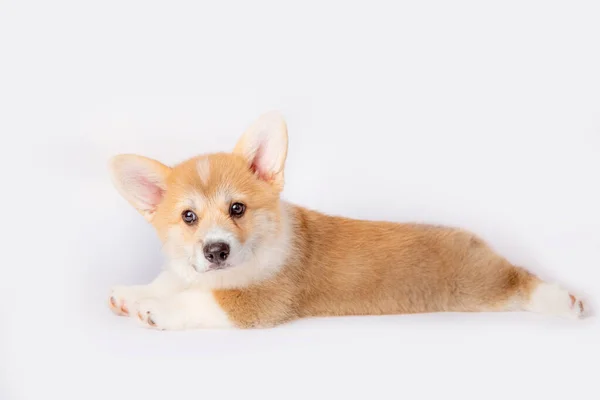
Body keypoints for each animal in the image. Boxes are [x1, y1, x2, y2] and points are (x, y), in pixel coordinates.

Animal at [106, 110, 584, 328]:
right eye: (188, 216)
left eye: (237, 209)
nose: (216, 251)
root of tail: (475, 241)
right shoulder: (190, 271)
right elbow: (170, 280)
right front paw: (130, 294)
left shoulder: (260, 302)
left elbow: (196, 300)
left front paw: (153, 309)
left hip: (478, 284)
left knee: (519, 280)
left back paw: (565, 302)